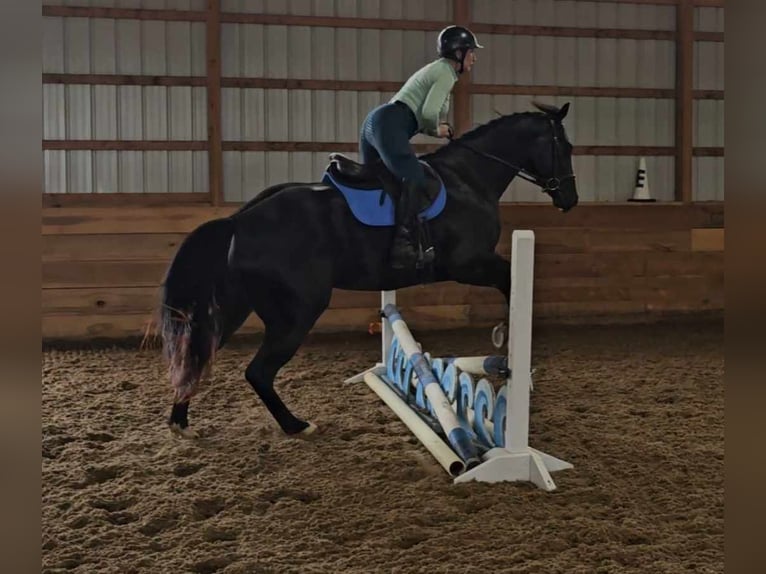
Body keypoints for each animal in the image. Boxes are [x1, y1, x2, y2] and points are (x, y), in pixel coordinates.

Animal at [164, 101, 584, 438]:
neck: (469, 178)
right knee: (258, 371)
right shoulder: (469, 263)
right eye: (564, 147)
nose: (570, 199)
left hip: (237, 306)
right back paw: (295, 425)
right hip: (298, 312)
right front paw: (508, 344)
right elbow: (510, 282)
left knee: (199, 352)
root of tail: (239, 220)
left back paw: (181, 421)